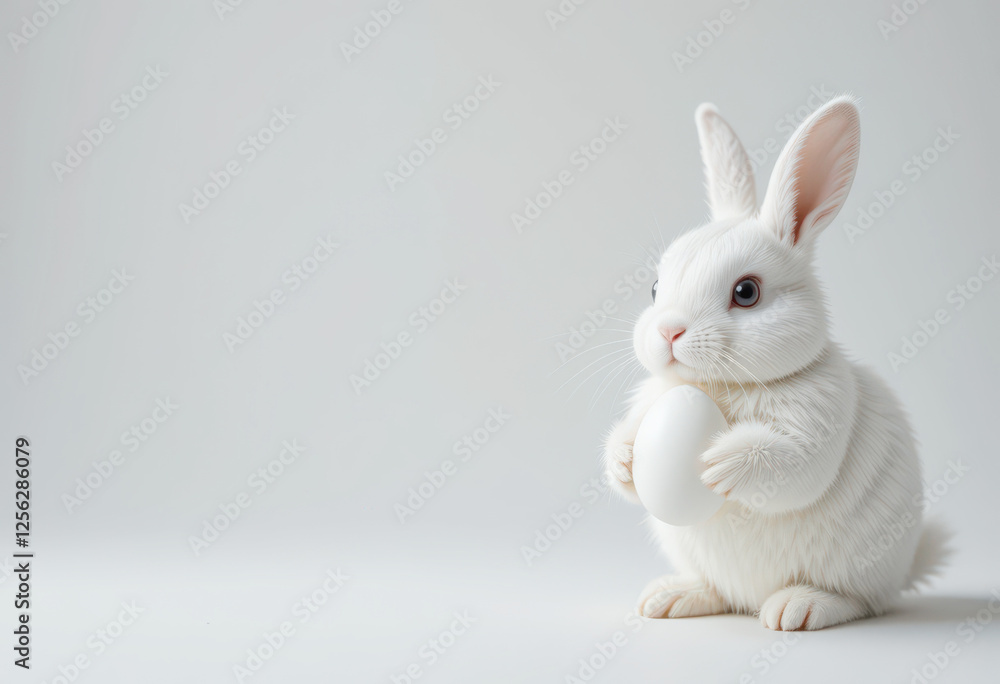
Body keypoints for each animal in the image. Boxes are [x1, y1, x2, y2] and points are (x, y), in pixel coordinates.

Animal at [604, 96, 948, 631]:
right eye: (656, 289)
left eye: (747, 292)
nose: (668, 332)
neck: (720, 387)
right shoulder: (651, 401)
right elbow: (625, 445)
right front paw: (625, 459)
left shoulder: (817, 425)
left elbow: (788, 464)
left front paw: (719, 462)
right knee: (718, 592)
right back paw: (670, 597)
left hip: (860, 570)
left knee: (863, 602)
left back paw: (796, 607)